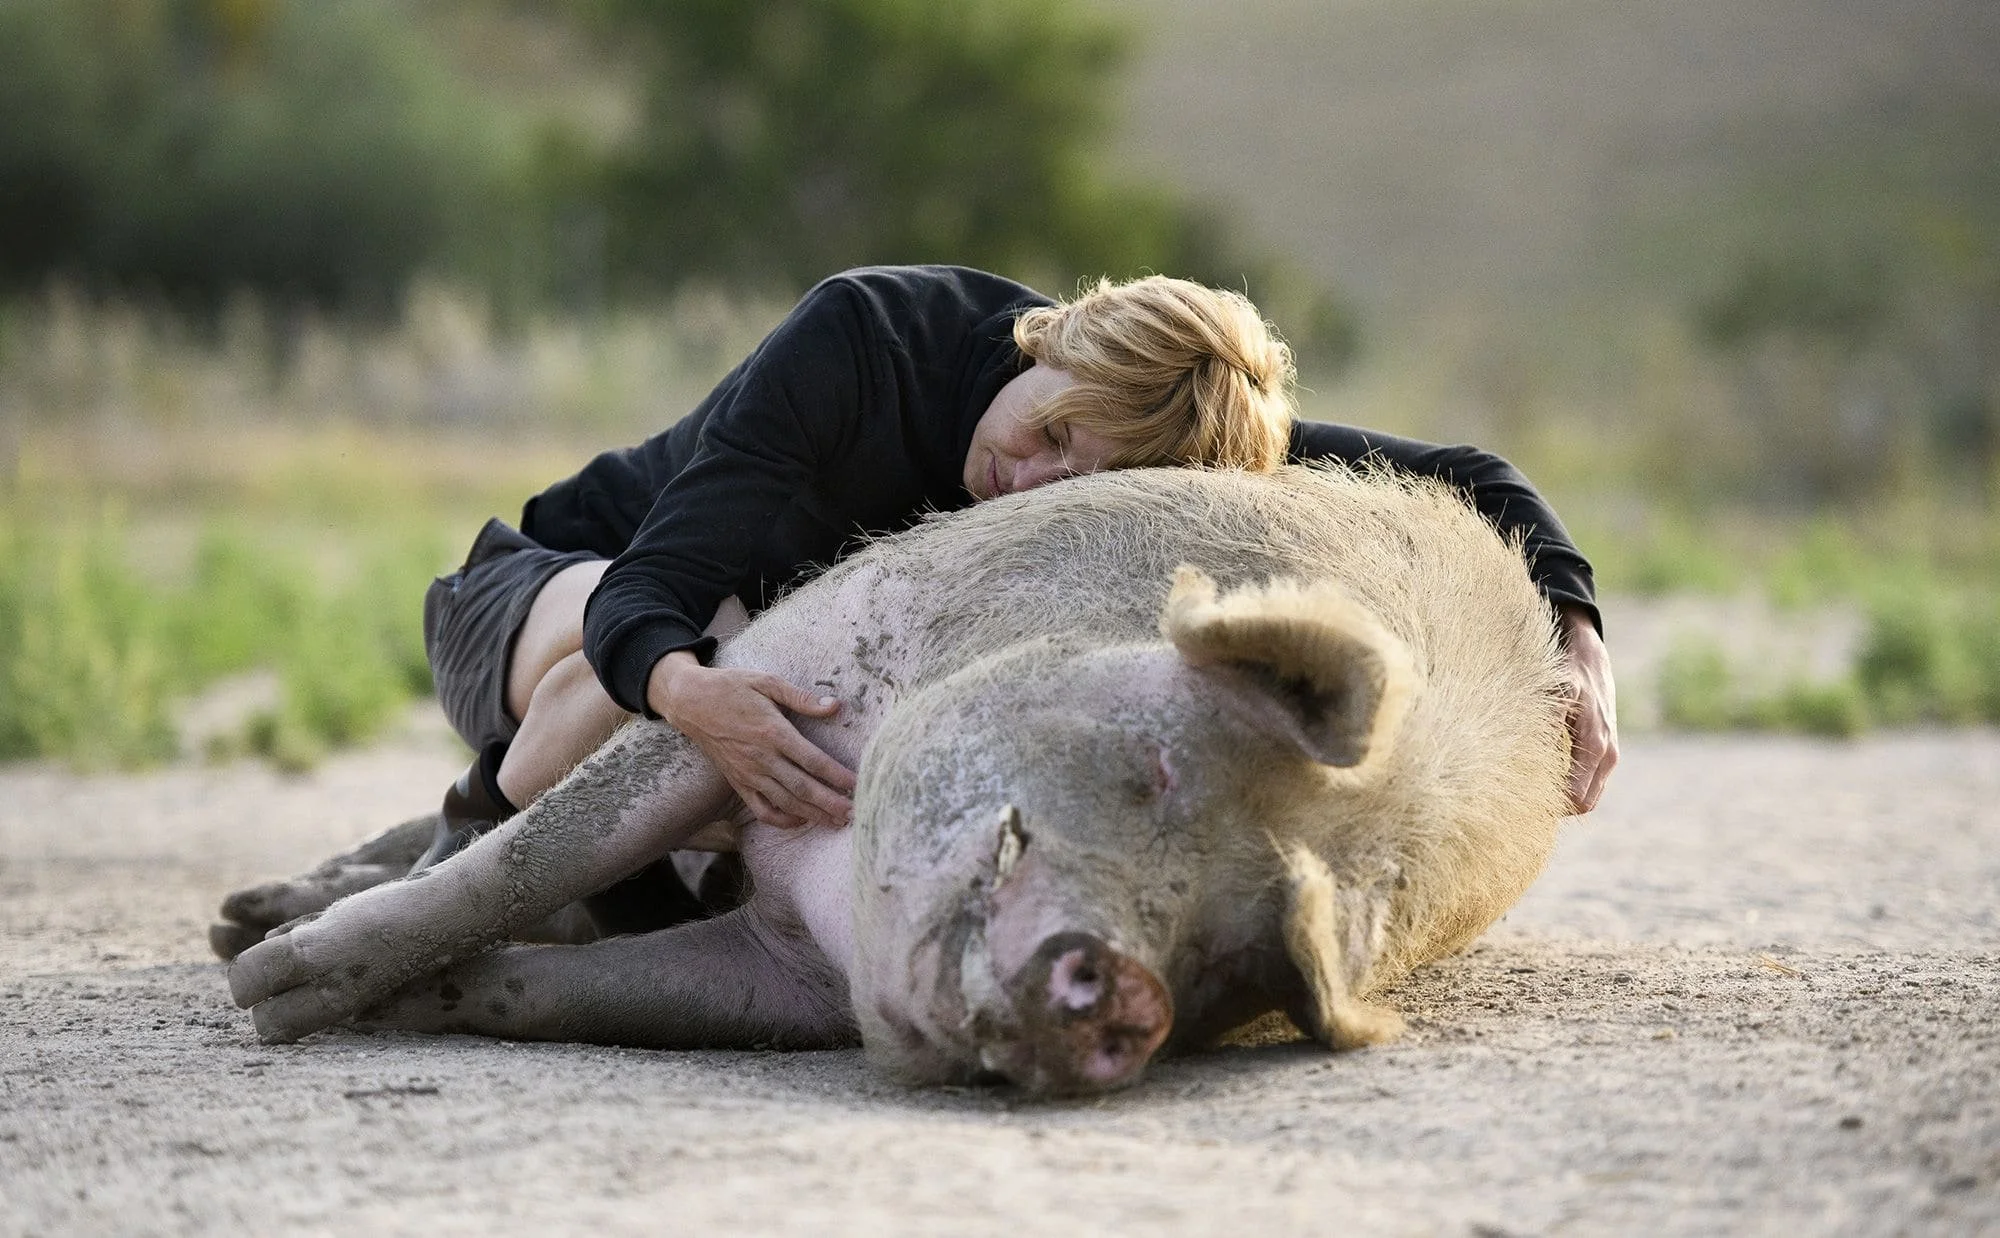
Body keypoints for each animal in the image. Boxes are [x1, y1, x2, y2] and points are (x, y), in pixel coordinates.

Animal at [225, 464, 1572, 1094]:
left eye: (1236, 954)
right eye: (1155, 767)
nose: (1130, 993)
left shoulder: (786, 977)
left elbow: (551, 987)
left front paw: (410, 1002)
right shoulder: (773, 670)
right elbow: (525, 863)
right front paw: (272, 998)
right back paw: (244, 923)